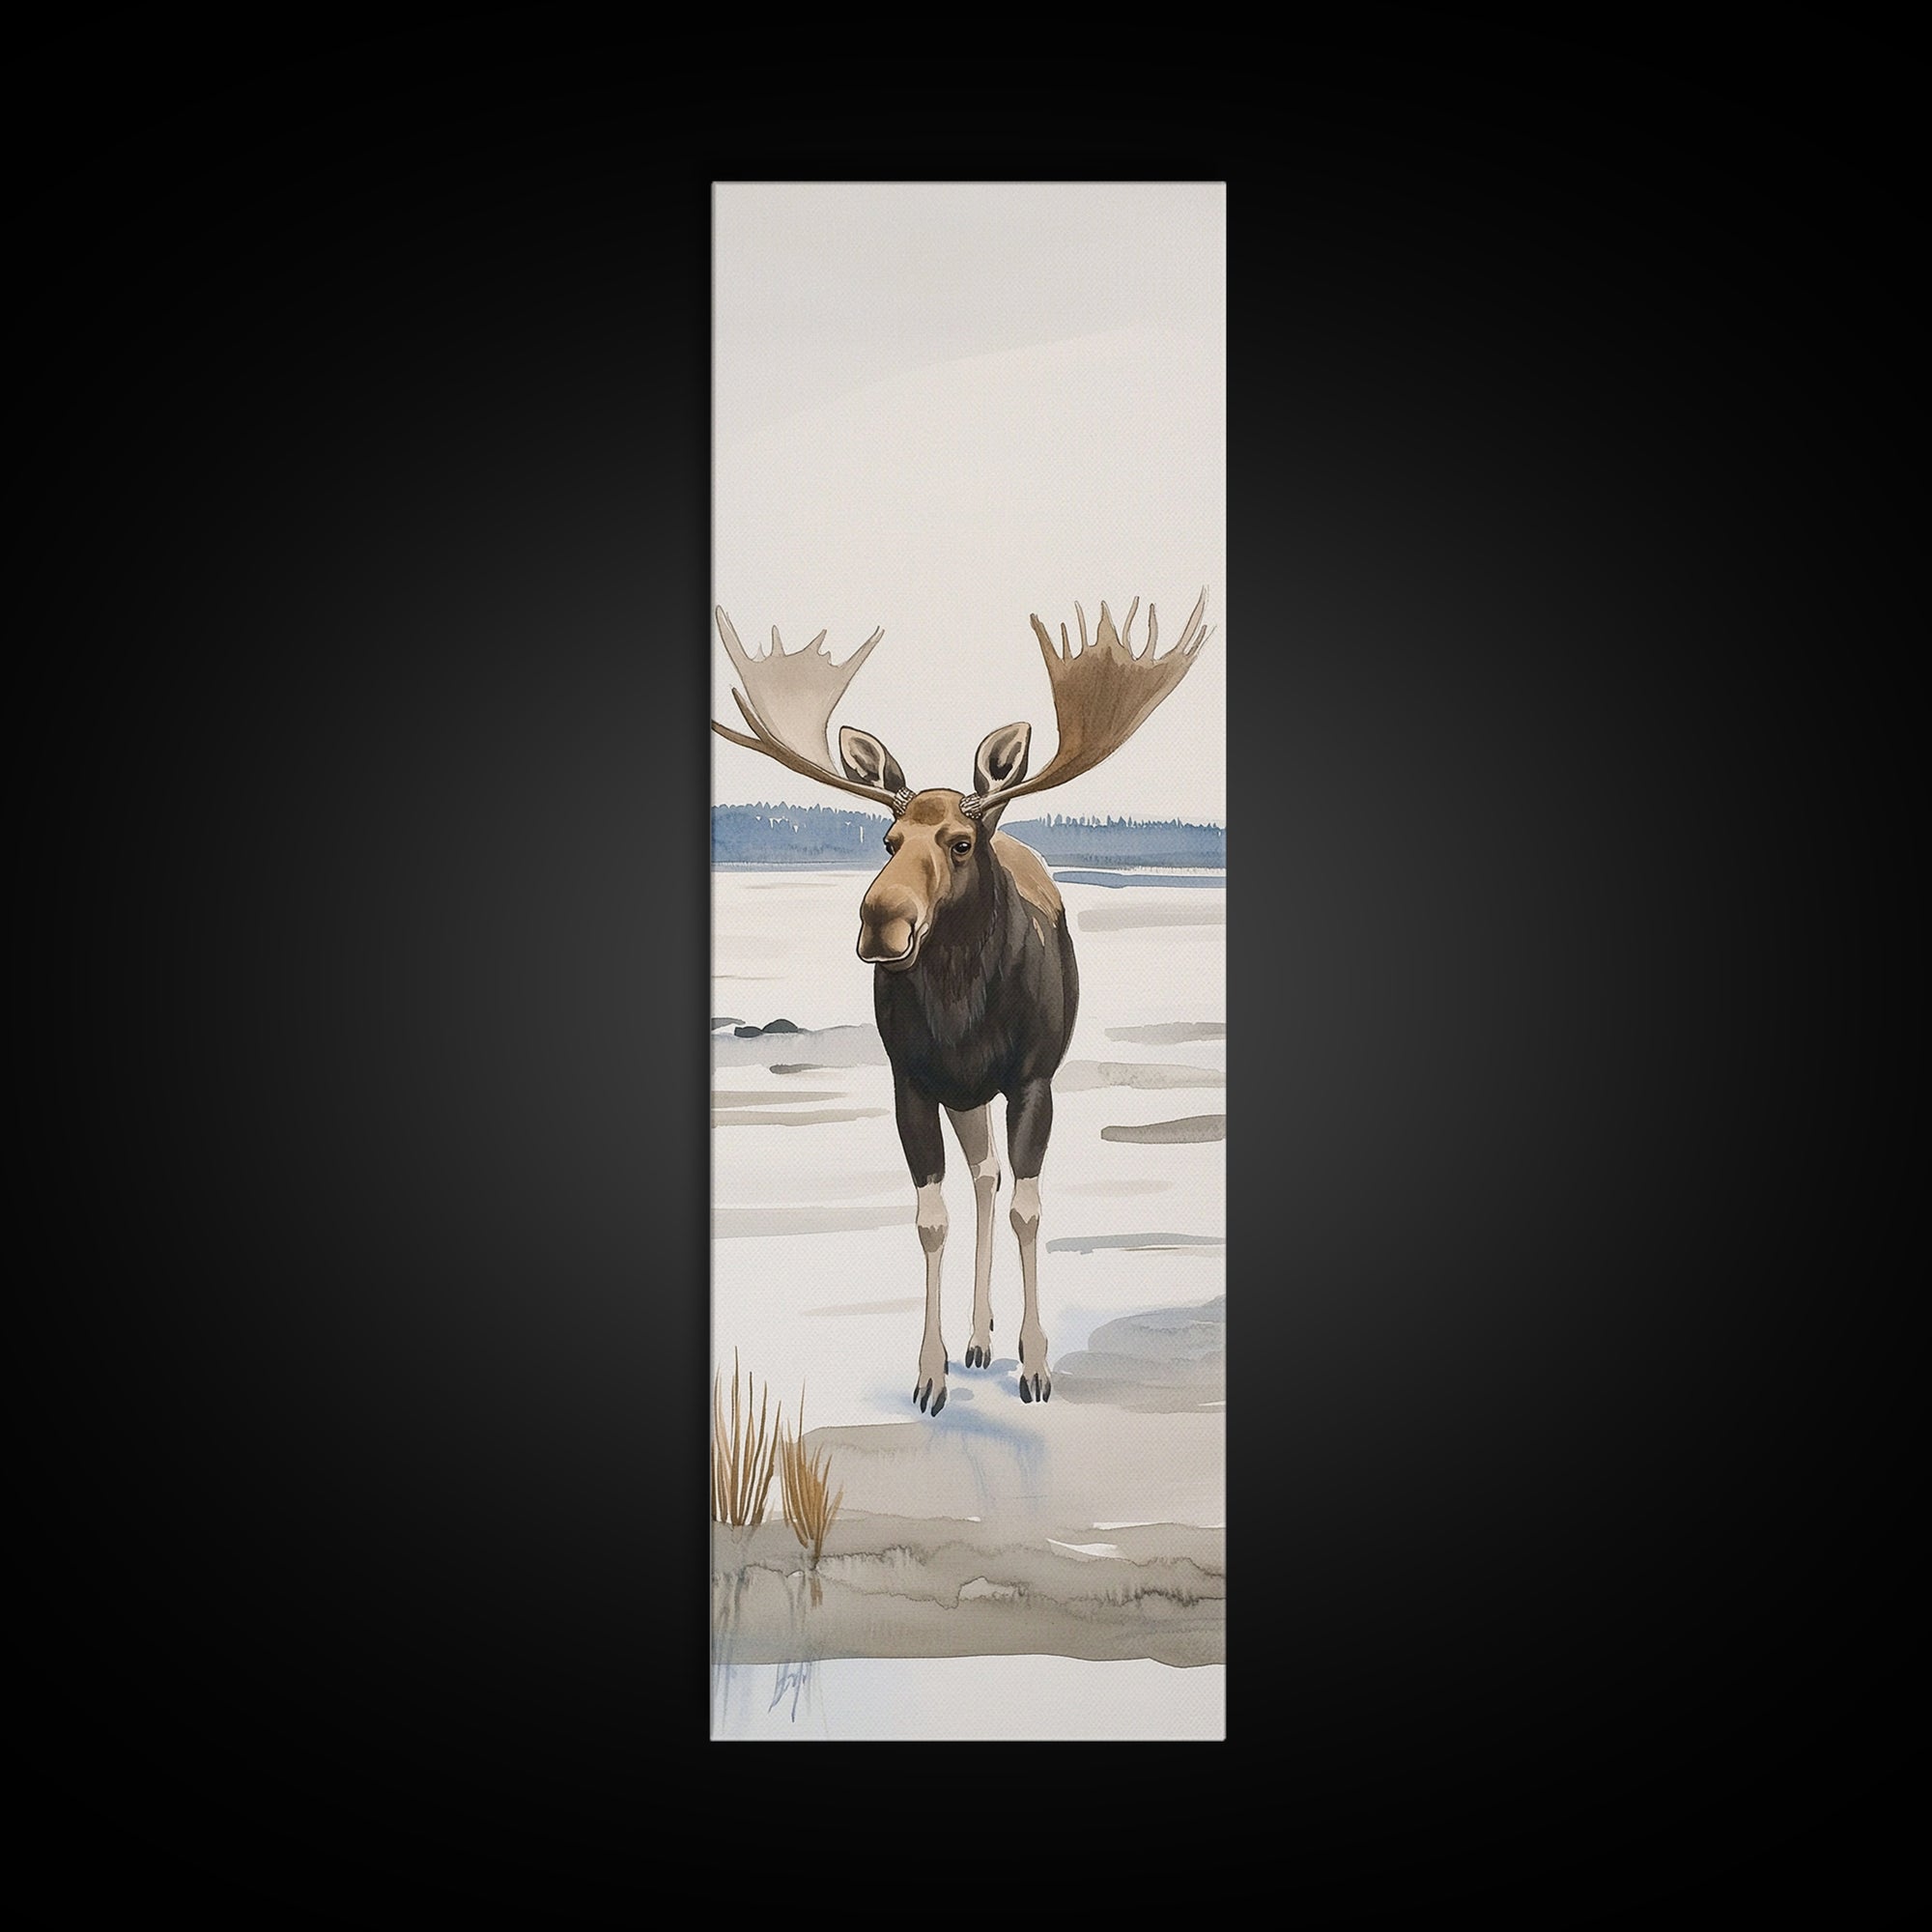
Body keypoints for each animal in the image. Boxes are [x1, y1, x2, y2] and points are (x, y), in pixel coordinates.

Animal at [712, 590, 1212, 1417]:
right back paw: (976, 1337)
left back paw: (995, 1338)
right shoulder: (912, 1083)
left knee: (995, 1180)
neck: (961, 1009)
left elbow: (1028, 1209)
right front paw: (931, 1371)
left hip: (995, 1088)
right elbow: (931, 1220)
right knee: (981, 1175)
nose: (881, 920)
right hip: (964, 1095)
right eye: (887, 838)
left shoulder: (1035, 1080)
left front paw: (1037, 1365)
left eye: (959, 842)